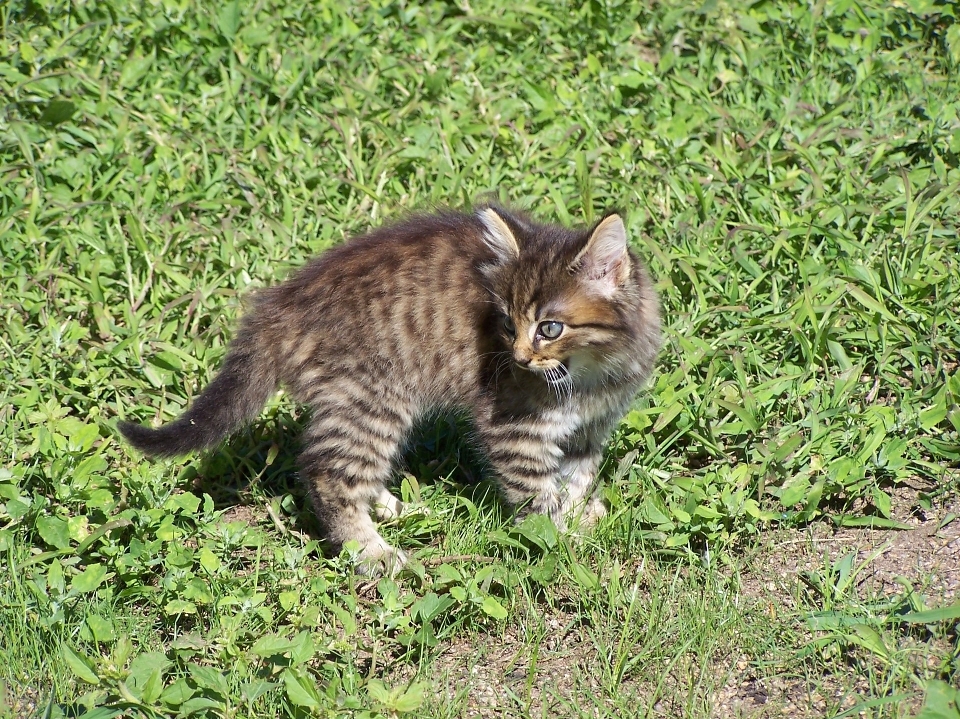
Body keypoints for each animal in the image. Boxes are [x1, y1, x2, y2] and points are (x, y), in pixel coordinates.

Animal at [118, 204, 660, 572]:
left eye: (548, 328)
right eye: (508, 325)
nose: (520, 358)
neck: (590, 373)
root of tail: (278, 306)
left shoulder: (592, 425)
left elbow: (578, 475)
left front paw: (581, 516)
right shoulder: (513, 427)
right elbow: (537, 493)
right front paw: (559, 539)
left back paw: (394, 506)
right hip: (373, 397)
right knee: (326, 471)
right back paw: (371, 553)